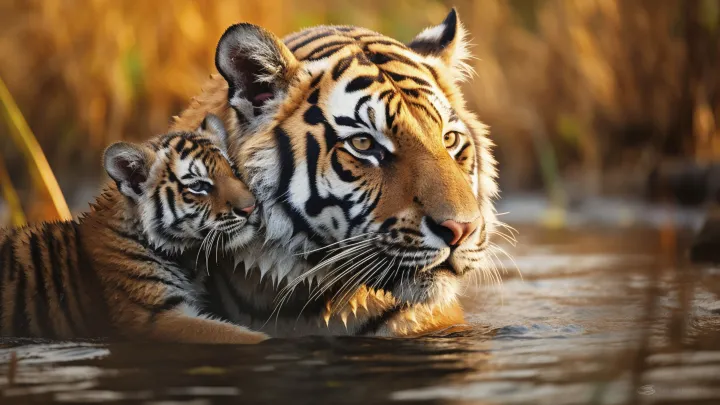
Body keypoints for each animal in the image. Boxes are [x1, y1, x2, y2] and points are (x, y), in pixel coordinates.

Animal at [0, 114, 268, 344]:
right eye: (199, 186)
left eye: (234, 172)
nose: (251, 207)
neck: (186, 256)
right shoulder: (154, 317)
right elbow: (245, 337)